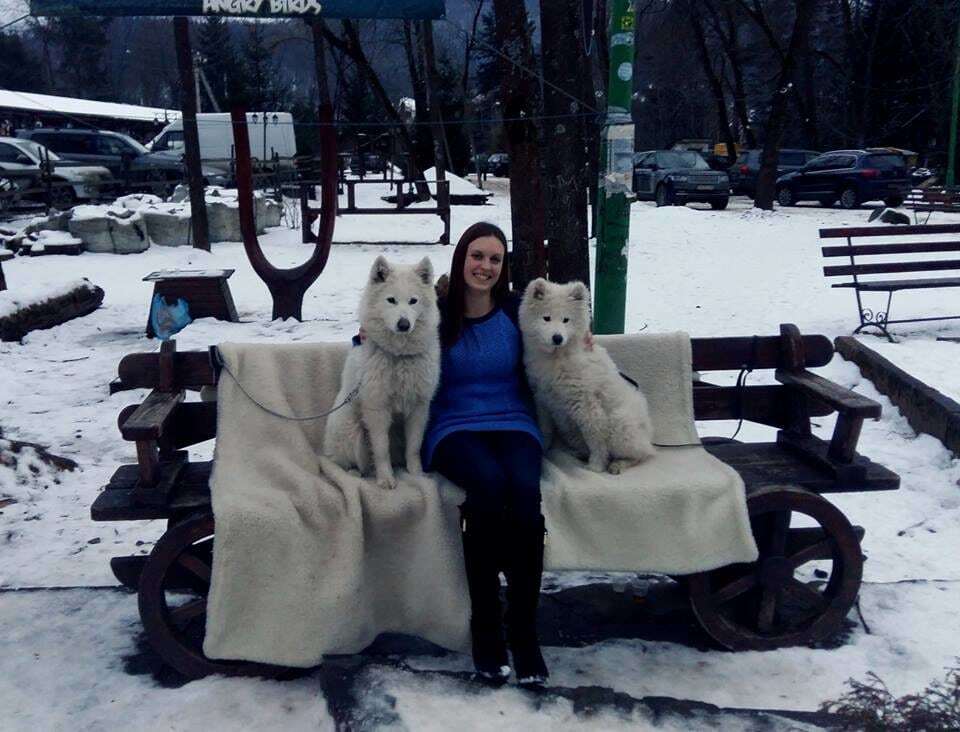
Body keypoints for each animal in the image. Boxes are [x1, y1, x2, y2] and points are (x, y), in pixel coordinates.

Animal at [324, 254, 440, 488]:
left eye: (413, 301)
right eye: (391, 300)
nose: (404, 324)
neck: (399, 356)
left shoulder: (419, 408)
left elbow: (414, 447)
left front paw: (417, 474)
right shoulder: (377, 410)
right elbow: (380, 450)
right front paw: (386, 479)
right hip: (353, 433)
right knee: (345, 464)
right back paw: (355, 474)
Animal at [516, 276, 660, 474]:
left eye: (566, 320)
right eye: (546, 318)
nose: (557, 338)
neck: (556, 359)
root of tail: (648, 435)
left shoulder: (585, 403)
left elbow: (595, 438)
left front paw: (596, 466)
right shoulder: (542, 400)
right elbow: (544, 430)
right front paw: (542, 454)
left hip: (619, 423)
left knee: (641, 454)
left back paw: (618, 464)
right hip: (570, 429)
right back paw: (579, 453)